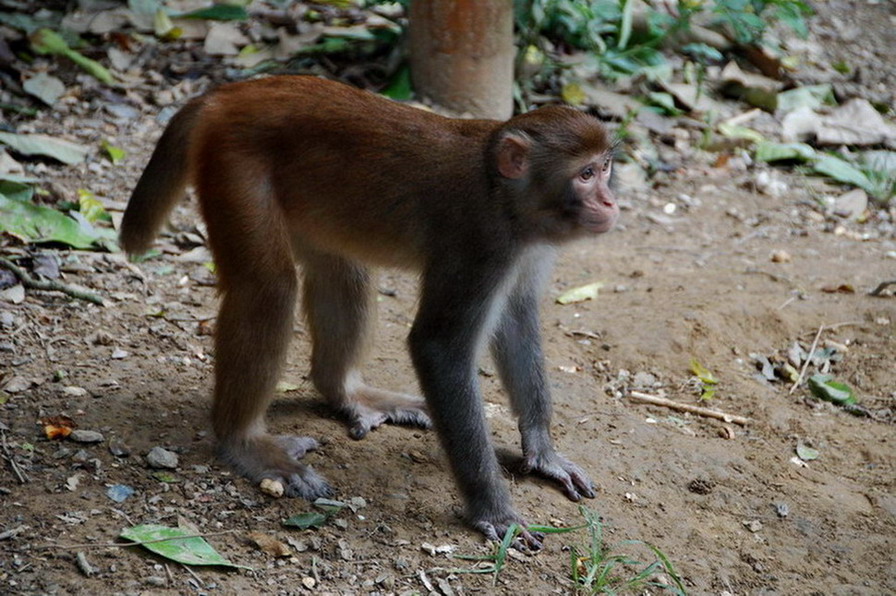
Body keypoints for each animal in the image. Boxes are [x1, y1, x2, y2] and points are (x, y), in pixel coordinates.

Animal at [121, 75, 616, 548]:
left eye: (605, 168)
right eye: (586, 174)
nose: (610, 202)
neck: (503, 194)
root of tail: (228, 94)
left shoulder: (525, 247)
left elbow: (516, 320)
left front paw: (543, 453)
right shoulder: (479, 243)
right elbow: (438, 348)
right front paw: (492, 510)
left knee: (343, 269)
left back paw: (345, 391)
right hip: (234, 164)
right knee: (267, 289)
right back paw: (242, 440)